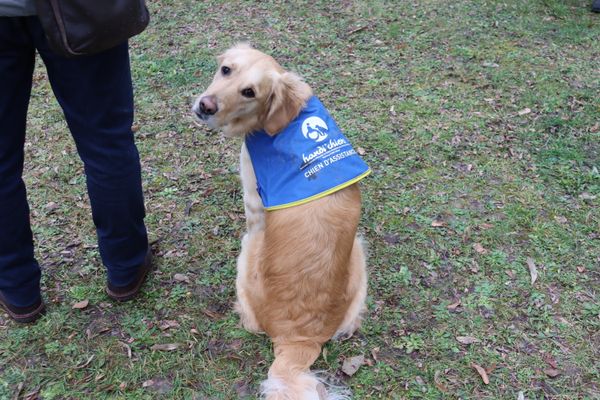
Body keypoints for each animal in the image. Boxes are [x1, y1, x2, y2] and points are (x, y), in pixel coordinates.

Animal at [193, 43, 370, 396]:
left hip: (252, 255)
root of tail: (297, 340)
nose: (206, 106)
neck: (284, 119)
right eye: (226, 70)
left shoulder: (253, 201)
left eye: (250, 92)